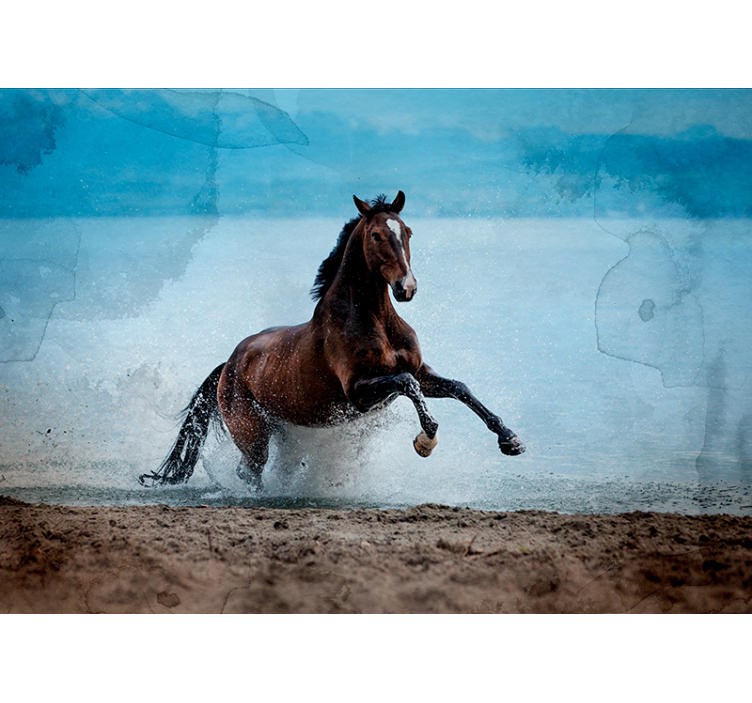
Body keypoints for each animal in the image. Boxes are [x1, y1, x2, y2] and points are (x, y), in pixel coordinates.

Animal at [139, 191, 525, 490]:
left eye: (408, 231)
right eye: (376, 235)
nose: (407, 288)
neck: (375, 320)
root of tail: (228, 364)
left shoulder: (421, 371)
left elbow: (458, 387)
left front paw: (510, 439)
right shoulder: (357, 392)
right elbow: (407, 383)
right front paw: (426, 440)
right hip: (251, 431)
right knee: (249, 472)